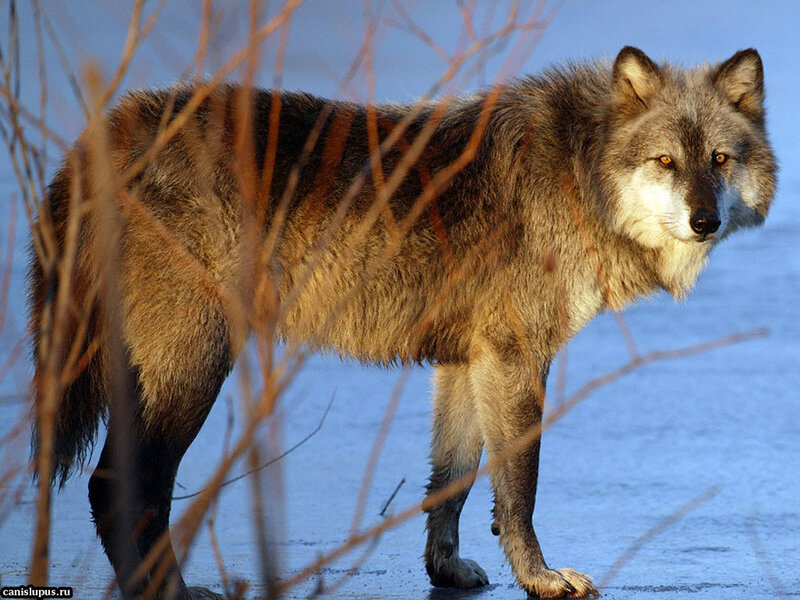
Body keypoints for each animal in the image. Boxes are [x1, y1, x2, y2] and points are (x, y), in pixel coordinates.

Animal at [29, 46, 775, 599]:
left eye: (719, 160)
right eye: (665, 162)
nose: (704, 219)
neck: (573, 171)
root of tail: (102, 133)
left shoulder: (467, 361)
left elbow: (453, 480)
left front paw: (446, 570)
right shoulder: (516, 361)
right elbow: (519, 489)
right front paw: (540, 578)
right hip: (198, 367)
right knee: (121, 487)